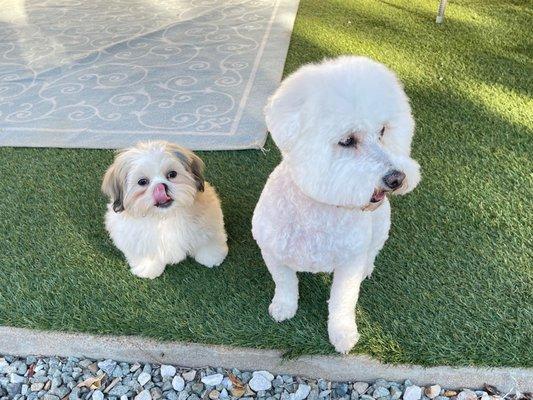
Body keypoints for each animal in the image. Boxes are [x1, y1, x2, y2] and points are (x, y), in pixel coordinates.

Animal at [103, 141, 228, 278]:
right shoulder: (132, 238)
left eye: (172, 174)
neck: (165, 217)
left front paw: (212, 256)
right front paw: (148, 268)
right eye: (142, 182)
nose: (160, 187)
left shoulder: (209, 223)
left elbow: (208, 241)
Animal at [251, 56, 422, 354]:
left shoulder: (349, 264)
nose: (397, 178)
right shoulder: (272, 252)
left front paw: (342, 333)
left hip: (381, 228)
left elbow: (343, 301)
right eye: (347, 140)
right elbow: (285, 283)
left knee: (372, 251)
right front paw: (283, 308)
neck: (319, 209)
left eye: (382, 131)